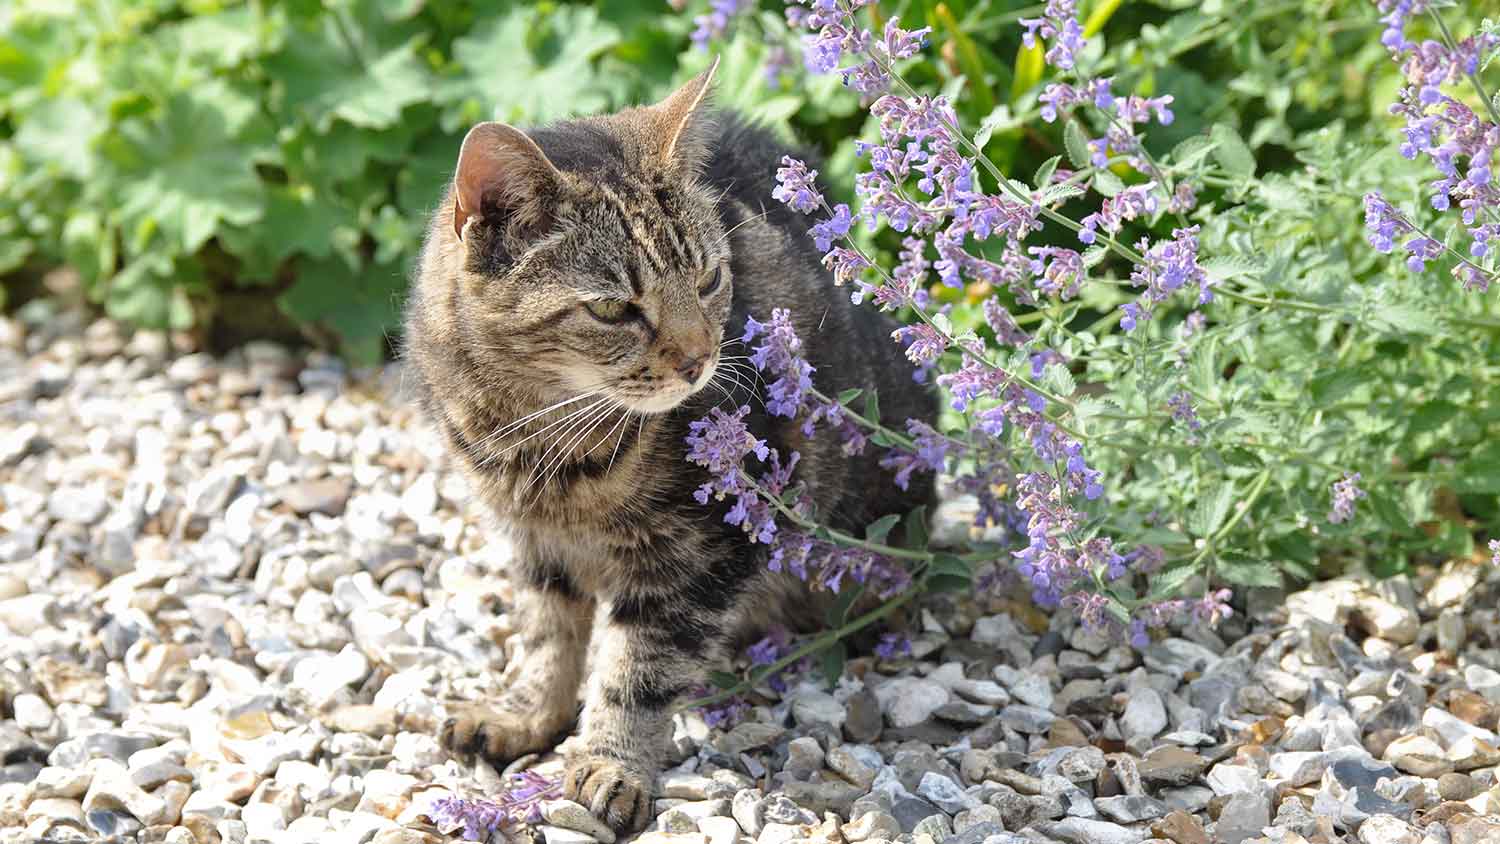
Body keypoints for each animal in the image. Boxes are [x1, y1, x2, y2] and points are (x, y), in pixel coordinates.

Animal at [405, 62, 930, 833]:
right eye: (611, 308)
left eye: (709, 278)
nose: (699, 358)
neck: (542, 439)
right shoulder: (532, 542)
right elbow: (546, 634)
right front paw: (526, 715)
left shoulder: (701, 552)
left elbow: (637, 672)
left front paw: (609, 766)